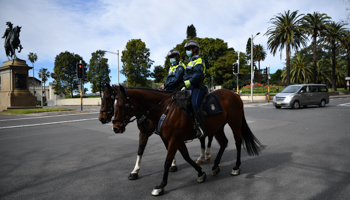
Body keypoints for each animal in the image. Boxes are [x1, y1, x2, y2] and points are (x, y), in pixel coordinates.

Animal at [113, 85, 262, 196]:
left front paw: (161, 186)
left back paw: (236, 167)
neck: (165, 109)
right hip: (218, 127)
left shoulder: (174, 139)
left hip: (235, 123)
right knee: (224, 142)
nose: (116, 128)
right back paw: (215, 166)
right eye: (113, 105)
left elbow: (167, 162)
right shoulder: (175, 139)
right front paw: (201, 173)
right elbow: (186, 156)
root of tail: (235, 95)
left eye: (121, 106)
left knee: (238, 142)